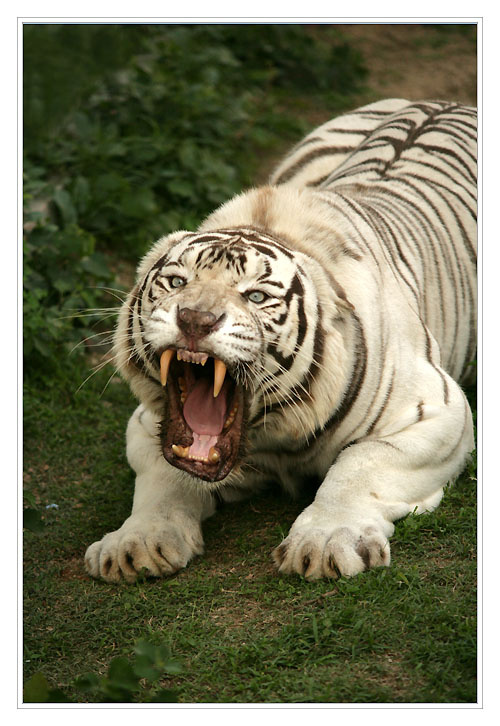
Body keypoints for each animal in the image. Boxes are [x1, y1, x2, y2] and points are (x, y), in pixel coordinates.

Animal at [84, 98, 477, 583]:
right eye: (177, 282)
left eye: (255, 296)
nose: (195, 319)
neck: (274, 436)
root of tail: (438, 102)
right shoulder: (147, 424)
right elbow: (163, 476)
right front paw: (136, 542)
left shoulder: (437, 411)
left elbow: (359, 466)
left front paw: (325, 542)